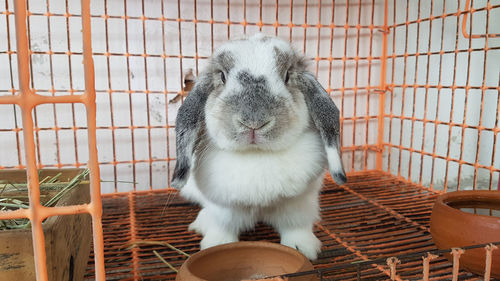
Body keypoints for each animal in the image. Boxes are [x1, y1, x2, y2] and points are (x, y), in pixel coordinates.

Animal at [170, 34, 346, 260]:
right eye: (222, 76)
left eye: (287, 76)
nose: (254, 122)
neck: (257, 154)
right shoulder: (224, 209)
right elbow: (222, 227)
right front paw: (217, 244)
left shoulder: (298, 205)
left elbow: (296, 226)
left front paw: (303, 248)